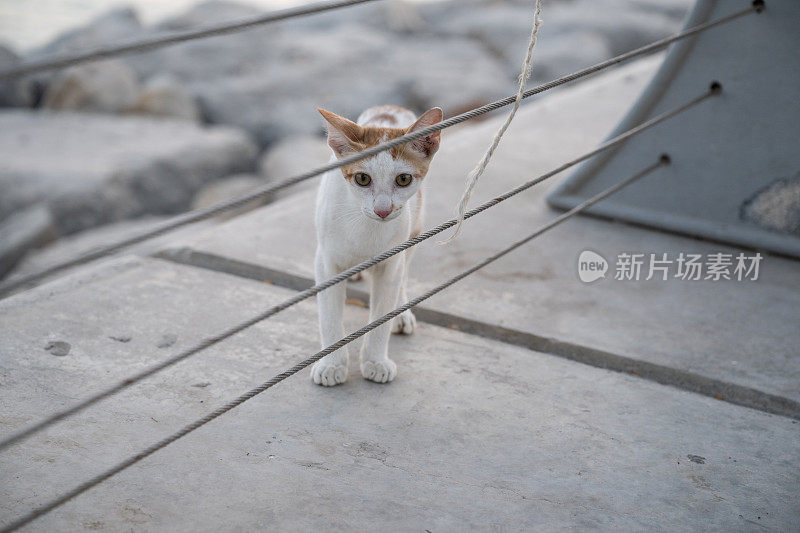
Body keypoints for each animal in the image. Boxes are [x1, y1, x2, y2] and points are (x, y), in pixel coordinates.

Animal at [310, 105, 444, 386]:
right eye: (362, 178)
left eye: (403, 179)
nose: (383, 210)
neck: (366, 228)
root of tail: (392, 108)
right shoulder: (326, 261)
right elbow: (329, 315)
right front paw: (331, 364)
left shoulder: (392, 260)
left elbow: (382, 314)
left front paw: (375, 361)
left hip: (414, 227)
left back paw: (401, 313)